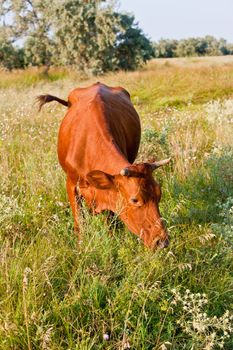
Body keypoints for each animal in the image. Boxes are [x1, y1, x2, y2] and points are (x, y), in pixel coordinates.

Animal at [37, 82, 169, 249]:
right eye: (134, 199)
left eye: (159, 194)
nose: (162, 241)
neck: (88, 145)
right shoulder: (71, 184)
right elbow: (79, 223)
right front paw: (80, 247)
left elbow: (110, 222)